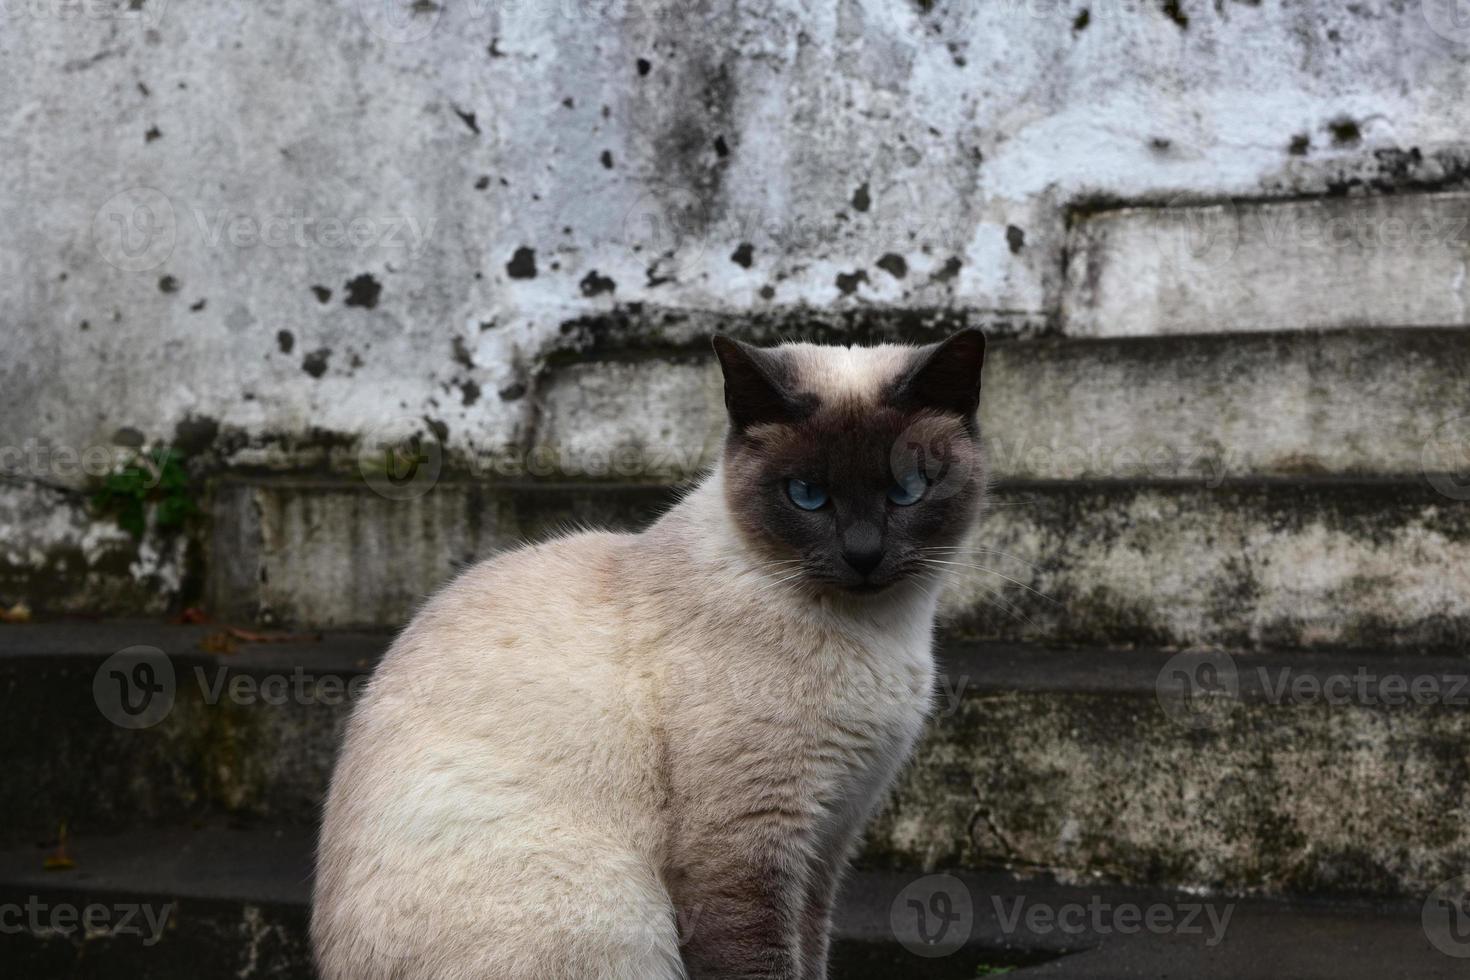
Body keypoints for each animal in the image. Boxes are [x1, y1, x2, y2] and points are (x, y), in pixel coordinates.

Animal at [310, 332, 987, 980]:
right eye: (806, 496)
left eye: (908, 489)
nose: (863, 556)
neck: (880, 633)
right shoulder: (748, 845)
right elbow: (760, 960)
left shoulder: (828, 839)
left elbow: (811, 954)